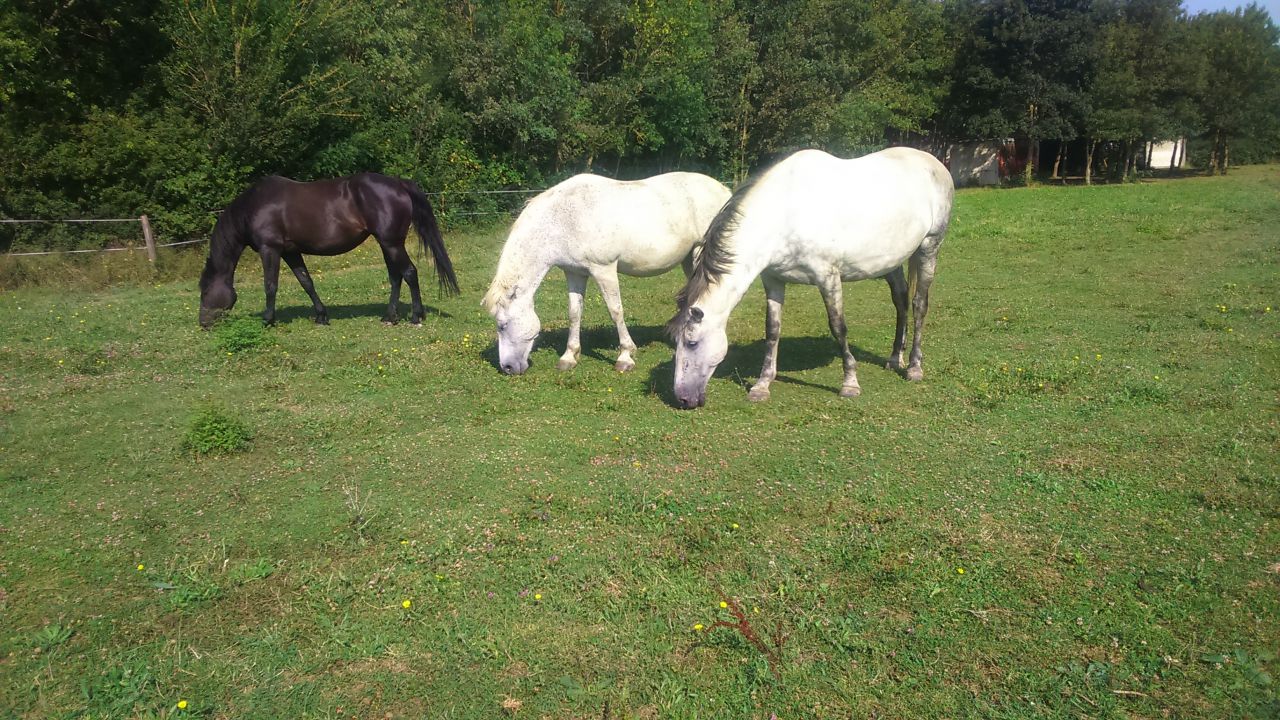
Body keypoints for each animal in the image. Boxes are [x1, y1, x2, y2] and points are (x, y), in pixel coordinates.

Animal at [198, 173, 460, 328]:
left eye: (205, 291)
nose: (203, 323)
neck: (255, 206)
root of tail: (399, 184)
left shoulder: (269, 249)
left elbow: (270, 285)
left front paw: (268, 320)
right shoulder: (290, 252)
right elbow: (306, 282)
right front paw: (321, 316)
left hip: (392, 243)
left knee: (409, 273)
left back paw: (416, 317)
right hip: (387, 244)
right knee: (396, 277)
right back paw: (389, 317)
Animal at [482, 172, 730, 374]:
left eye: (502, 325)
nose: (507, 367)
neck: (564, 220)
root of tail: (724, 191)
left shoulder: (604, 270)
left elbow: (615, 311)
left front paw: (625, 357)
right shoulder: (574, 273)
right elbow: (574, 313)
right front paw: (569, 356)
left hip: (700, 254)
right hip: (689, 259)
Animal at [667, 147, 954, 408]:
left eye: (692, 342)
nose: (683, 399)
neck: (784, 217)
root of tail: (933, 162)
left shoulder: (827, 277)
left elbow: (838, 327)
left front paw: (850, 383)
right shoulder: (773, 281)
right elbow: (772, 330)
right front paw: (762, 385)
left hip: (929, 247)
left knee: (919, 304)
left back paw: (914, 367)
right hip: (890, 261)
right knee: (901, 302)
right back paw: (895, 359)